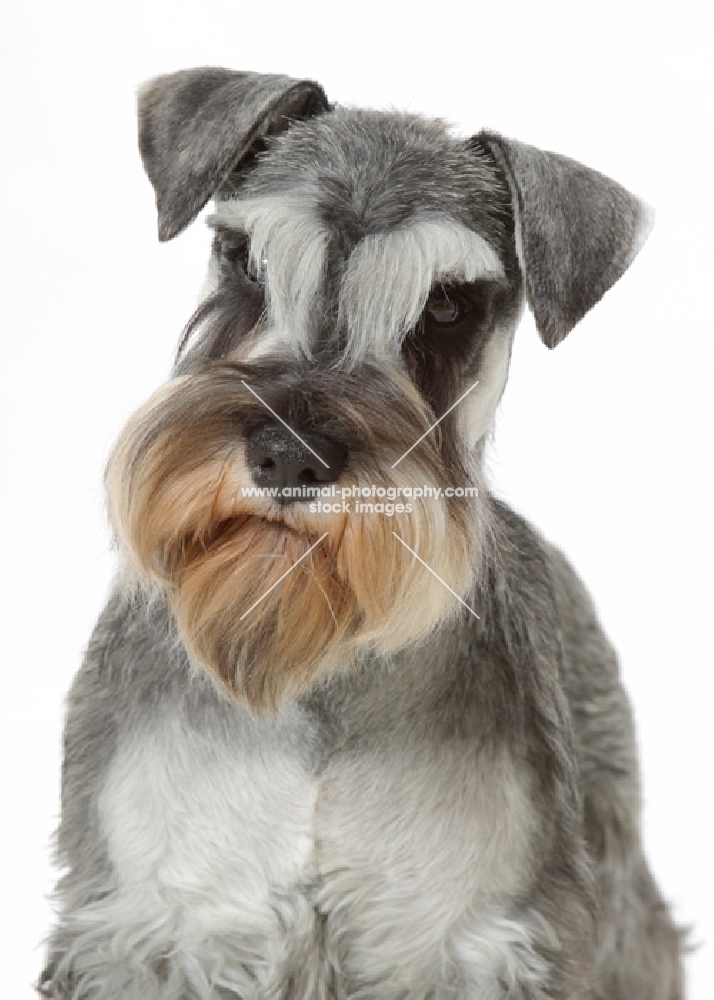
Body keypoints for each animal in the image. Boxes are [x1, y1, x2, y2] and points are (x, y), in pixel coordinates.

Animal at [40, 70, 684, 1000]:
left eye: (447, 306)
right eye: (243, 258)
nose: (287, 454)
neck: (313, 673)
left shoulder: (472, 938)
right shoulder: (148, 923)